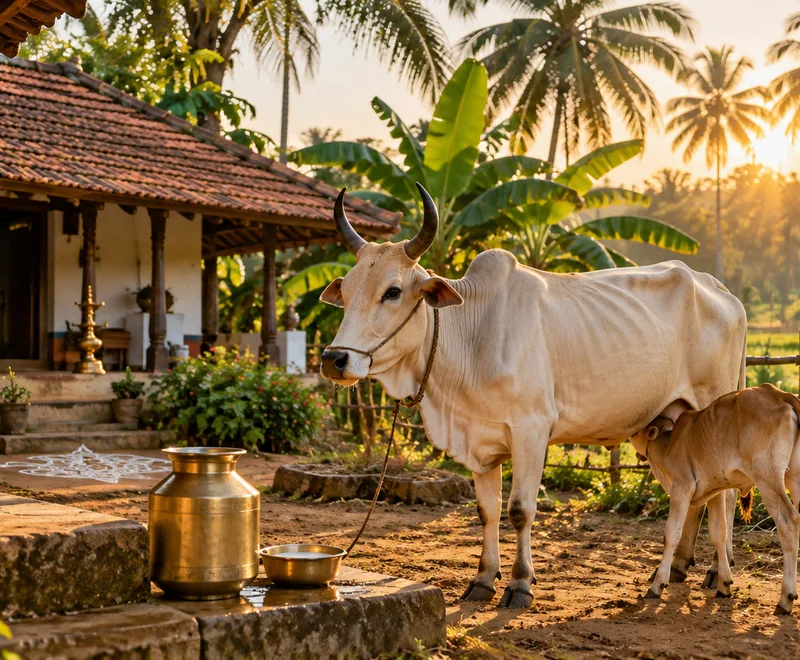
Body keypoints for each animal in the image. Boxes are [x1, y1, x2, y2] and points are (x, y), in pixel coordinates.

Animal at [319, 183, 747, 608]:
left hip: (715, 411)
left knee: (723, 498)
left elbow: (520, 511)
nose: (334, 358)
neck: (474, 336)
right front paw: (483, 579)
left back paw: (718, 574)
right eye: (347, 290)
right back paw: (680, 568)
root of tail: (720, 290)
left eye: (392, 291)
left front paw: (520, 583)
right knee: (697, 496)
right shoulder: (480, 439)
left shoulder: (531, 432)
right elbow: (487, 511)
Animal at [631, 384, 800, 615]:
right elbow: (719, 532)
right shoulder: (716, 491)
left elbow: (671, 534)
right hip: (794, 476)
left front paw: (657, 585)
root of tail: (779, 394)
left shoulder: (681, 488)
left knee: (789, 522)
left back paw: (785, 599)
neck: (668, 443)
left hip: (768, 477)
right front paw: (724, 585)